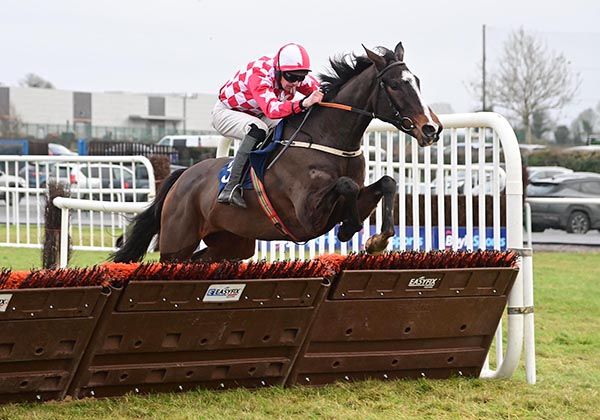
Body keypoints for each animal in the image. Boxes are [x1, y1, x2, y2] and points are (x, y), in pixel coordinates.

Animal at [111, 41, 440, 260]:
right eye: (395, 85)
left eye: (417, 81)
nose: (431, 128)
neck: (328, 140)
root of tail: (181, 176)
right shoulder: (307, 217)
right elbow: (345, 186)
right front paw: (349, 229)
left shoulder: (354, 198)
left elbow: (387, 182)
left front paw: (377, 240)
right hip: (176, 242)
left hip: (233, 243)